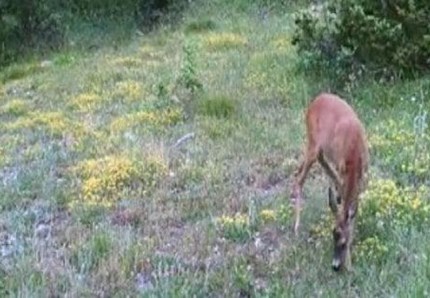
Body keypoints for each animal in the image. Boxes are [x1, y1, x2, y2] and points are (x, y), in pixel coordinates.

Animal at [292, 93, 370, 272]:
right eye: (333, 236)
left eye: (342, 242)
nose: (335, 266)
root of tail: (315, 101)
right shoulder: (342, 167)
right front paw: (349, 265)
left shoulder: (363, 175)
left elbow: (353, 209)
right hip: (313, 141)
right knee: (300, 178)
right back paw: (297, 226)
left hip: (317, 146)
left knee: (313, 164)